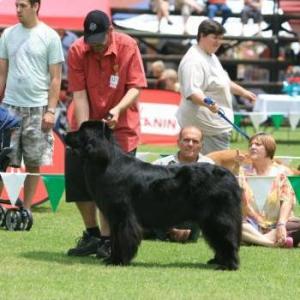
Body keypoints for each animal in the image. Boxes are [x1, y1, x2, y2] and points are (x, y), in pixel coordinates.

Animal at [65, 120, 241, 270]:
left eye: (81, 131)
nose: (66, 133)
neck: (106, 162)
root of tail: (230, 176)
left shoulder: (122, 216)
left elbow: (122, 238)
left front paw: (118, 261)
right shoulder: (114, 217)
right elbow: (115, 239)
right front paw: (112, 258)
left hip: (218, 217)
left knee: (227, 238)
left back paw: (228, 265)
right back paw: (218, 261)